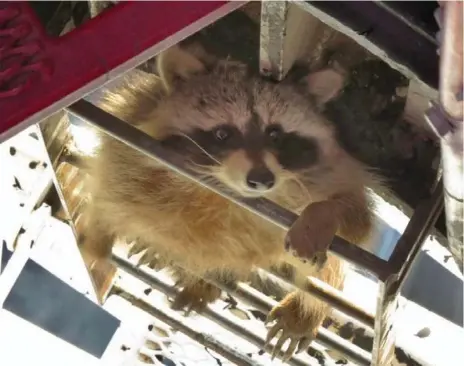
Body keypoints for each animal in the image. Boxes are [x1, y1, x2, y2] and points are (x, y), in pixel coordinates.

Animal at [77, 43, 380, 360]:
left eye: (275, 134)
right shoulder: (132, 128)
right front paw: (97, 235)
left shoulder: (333, 174)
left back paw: (304, 309)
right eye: (223, 133)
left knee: (328, 269)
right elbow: (110, 184)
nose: (261, 179)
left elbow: (356, 220)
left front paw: (322, 214)